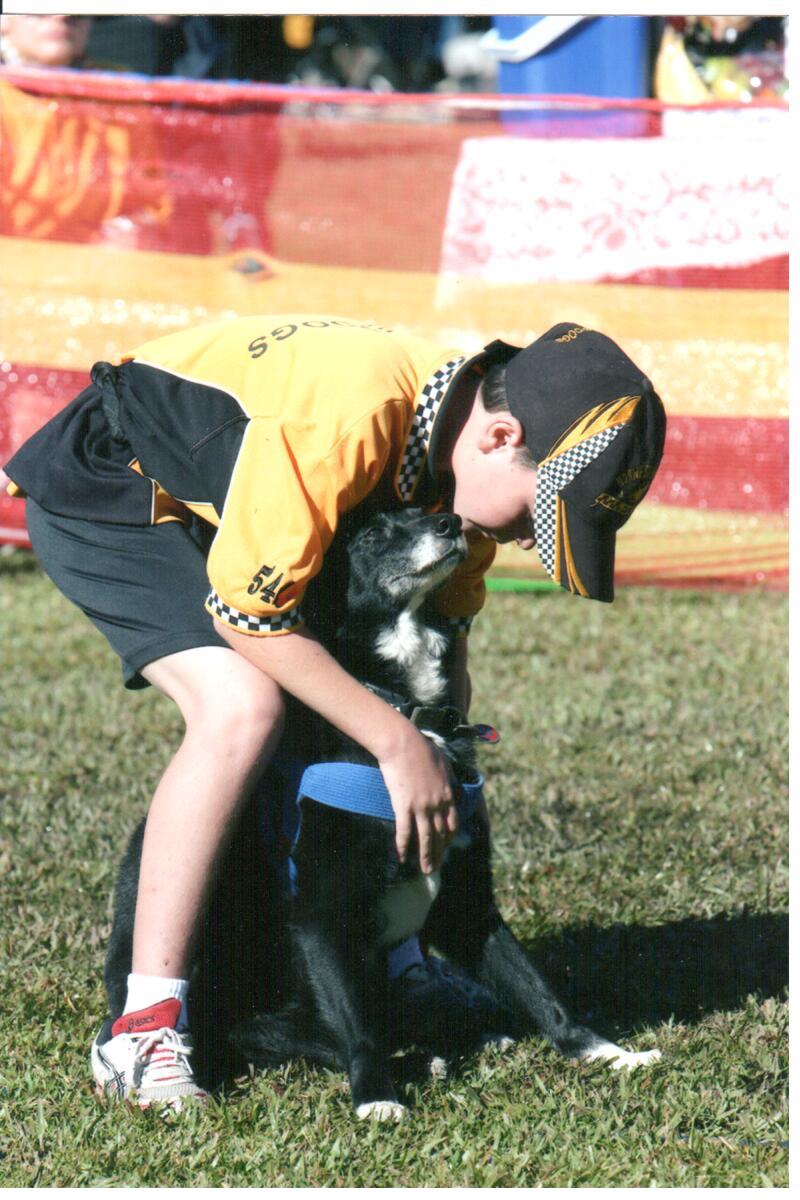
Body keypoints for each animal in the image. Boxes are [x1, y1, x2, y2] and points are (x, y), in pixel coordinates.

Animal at [103, 504, 662, 1113]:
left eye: (424, 511)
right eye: (372, 534)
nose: (450, 523)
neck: (405, 710)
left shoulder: (467, 900)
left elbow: (537, 988)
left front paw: (604, 1052)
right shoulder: (322, 918)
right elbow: (358, 1029)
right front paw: (376, 1096)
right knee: (277, 1035)